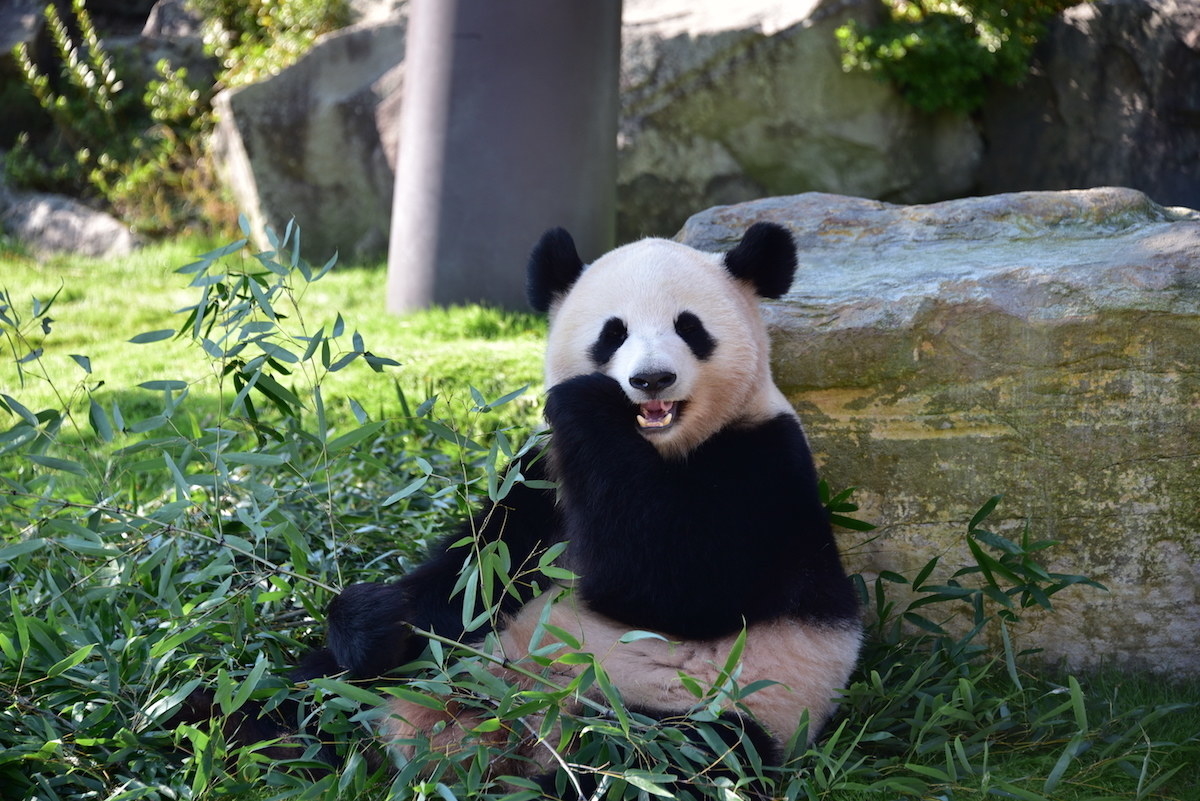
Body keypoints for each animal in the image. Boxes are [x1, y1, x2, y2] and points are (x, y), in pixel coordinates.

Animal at [304, 219, 859, 796]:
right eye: (612, 333)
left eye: (690, 327)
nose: (651, 379)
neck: (657, 448)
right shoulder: (538, 478)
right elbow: (475, 574)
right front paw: (375, 616)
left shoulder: (766, 465)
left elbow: (682, 587)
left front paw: (588, 401)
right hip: (444, 667)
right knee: (311, 692)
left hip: (706, 710)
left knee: (668, 761)